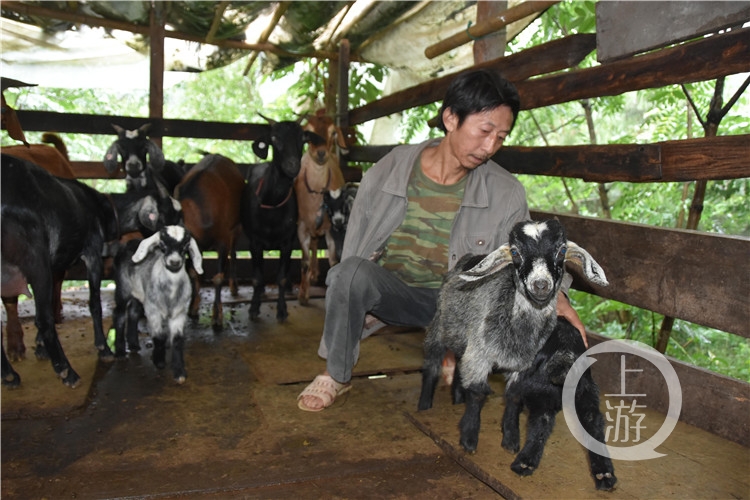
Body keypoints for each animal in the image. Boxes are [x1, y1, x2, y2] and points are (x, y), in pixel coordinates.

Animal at [0, 153, 182, 386]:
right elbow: (94, 302)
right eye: (169, 215)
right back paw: (67, 372)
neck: (103, 208)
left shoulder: (57, 262)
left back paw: (9, 374)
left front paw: (41, 348)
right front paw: (103, 348)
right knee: (44, 318)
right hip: (35, 258)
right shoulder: (93, 252)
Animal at [176, 154, 244, 330]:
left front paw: (217, 316)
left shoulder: (223, 241)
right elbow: (194, 273)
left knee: (234, 252)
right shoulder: (195, 246)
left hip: (236, 227)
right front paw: (193, 306)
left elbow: (218, 277)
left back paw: (234, 286)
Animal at [238, 115, 314, 322]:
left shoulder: (287, 242)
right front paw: (254, 308)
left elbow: (282, 277)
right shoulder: (254, 242)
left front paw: (282, 309)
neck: (272, 203)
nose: (292, 166)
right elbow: (257, 278)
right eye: (274, 138)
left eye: (302, 139)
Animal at [296, 110, 352, 304]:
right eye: (308, 132)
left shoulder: (330, 228)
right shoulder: (301, 227)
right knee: (313, 245)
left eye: (333, 132)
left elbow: (333, 261)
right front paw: (303, 295)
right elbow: (304, 261)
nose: (321, 153)